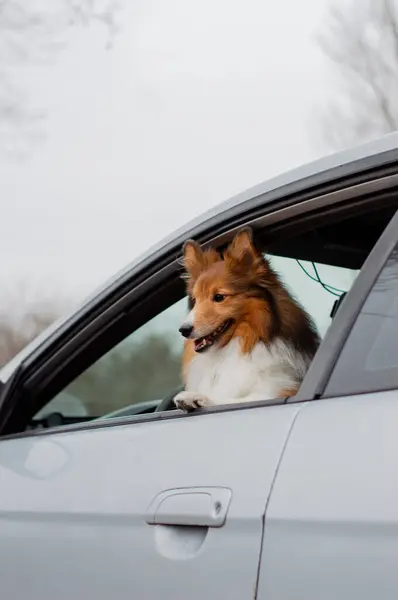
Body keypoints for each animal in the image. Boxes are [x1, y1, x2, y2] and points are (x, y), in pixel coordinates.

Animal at [174, 226, 320, 412]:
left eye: (219, 297)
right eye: (195, 299)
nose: (183, 330)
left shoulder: (282, 389)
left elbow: (234, 400)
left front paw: (197, 397)